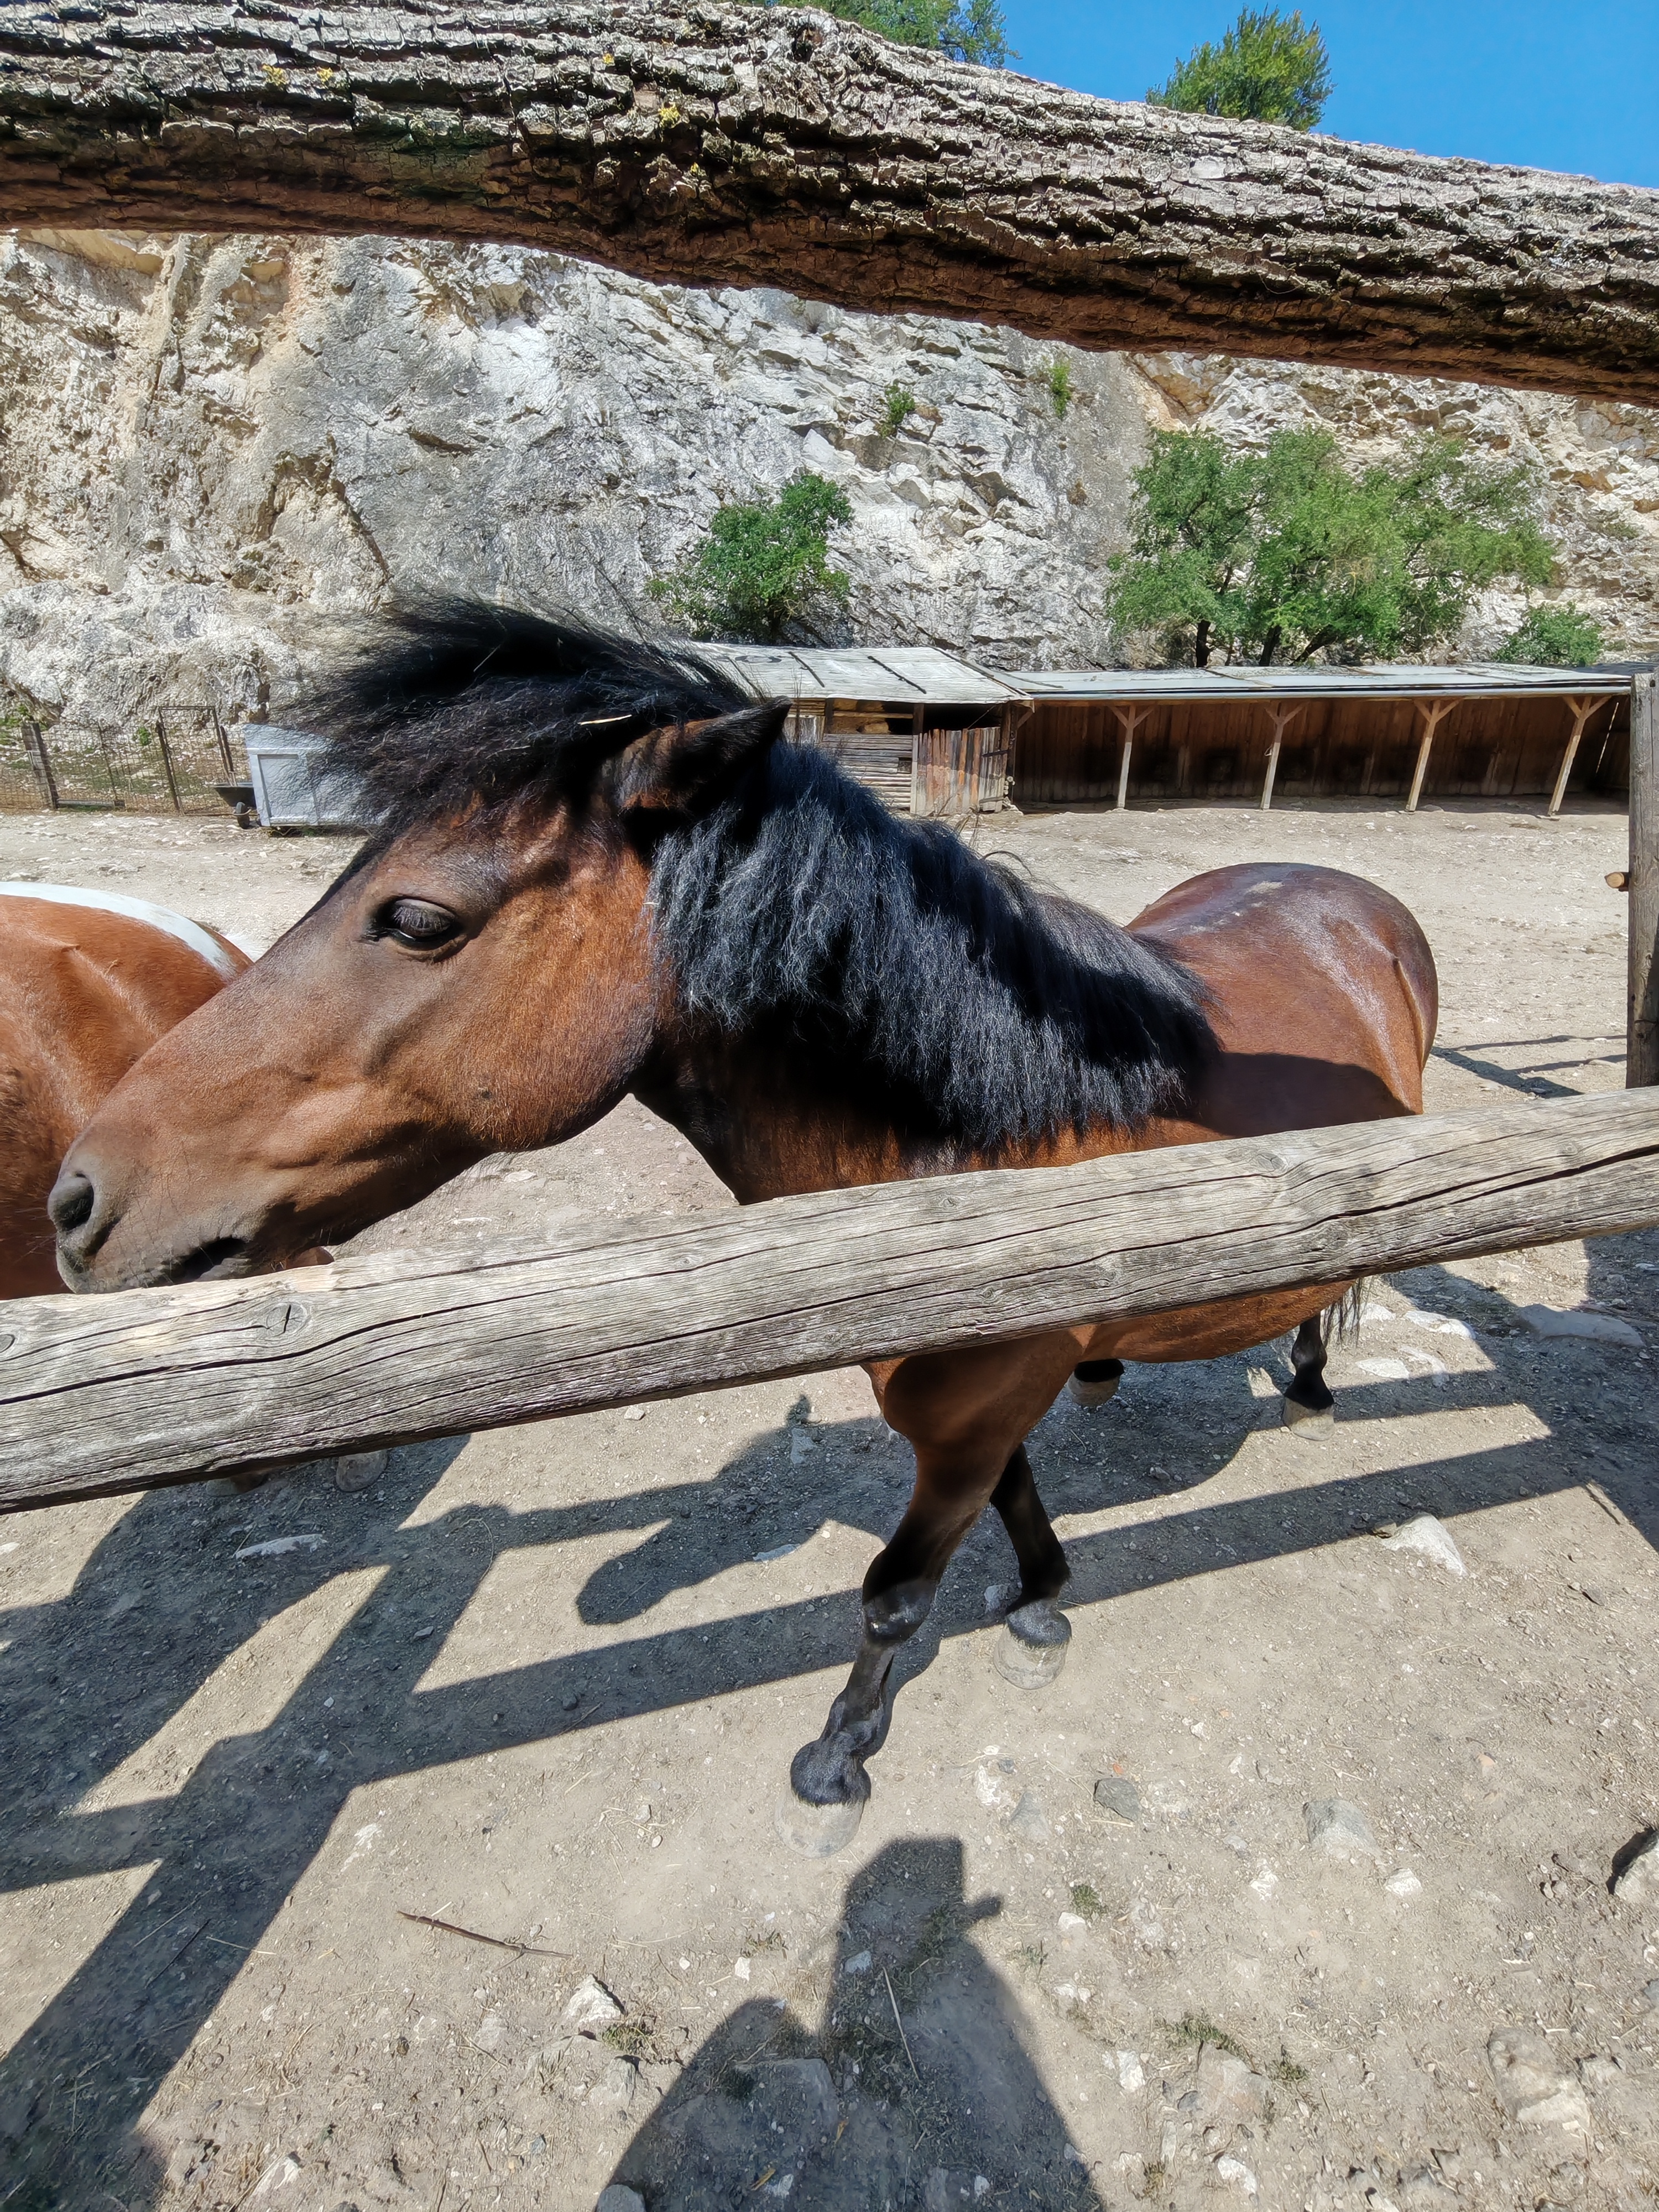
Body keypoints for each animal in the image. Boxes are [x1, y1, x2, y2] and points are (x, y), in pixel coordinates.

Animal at [48, 608, 1438, 1853]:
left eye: (418, 919)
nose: (76, 1202)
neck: (974, 1155)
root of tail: (1351, 894)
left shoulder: (972, 1416)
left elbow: (894, 1598)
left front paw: (839, 1759)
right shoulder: (978, 1412)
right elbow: (1014, 1504)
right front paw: (1041, 1601)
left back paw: (1310, 1383)